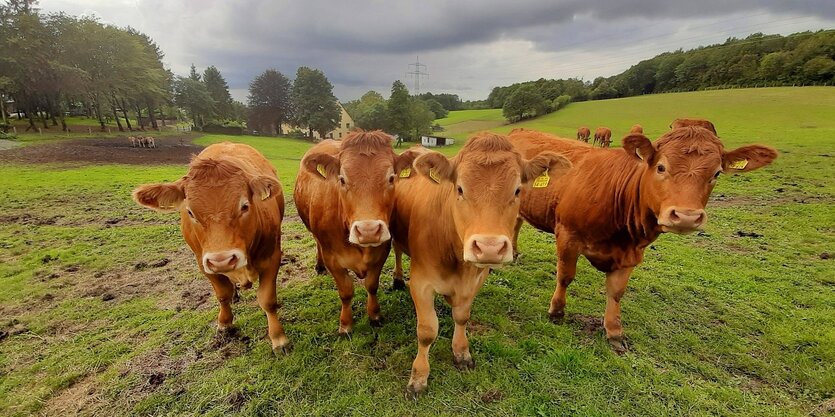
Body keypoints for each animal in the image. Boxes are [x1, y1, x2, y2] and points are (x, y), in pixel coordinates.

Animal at [131, 141, 288, 352]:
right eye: (190, 212)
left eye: (244, 206)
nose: (222, 260)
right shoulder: (203, 262)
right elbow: (222, 294)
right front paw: (224, 323)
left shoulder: (272, 257)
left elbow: (267, 300)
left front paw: (278, 338)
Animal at [296, 131, 422, 334]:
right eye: (342, 179)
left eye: (391, 178)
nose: (368, 230)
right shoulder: (332, 258)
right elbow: (346, 291)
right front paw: (346, 324)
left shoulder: (381, 251)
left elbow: (371, 285)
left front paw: (375, 315)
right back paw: (319, 266)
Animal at [396, 132, 572, 394]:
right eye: (459, 188)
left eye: (517, 190)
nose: (489, 247)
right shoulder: (421, 283)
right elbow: (427, 331)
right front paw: (419, 376)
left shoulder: (476, 280)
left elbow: (462, 316)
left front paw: (461, 352)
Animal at [510, 127, 776, 352]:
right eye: (660, 167)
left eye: (717, 173)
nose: (687, 216)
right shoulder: (567, 235)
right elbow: (565, 276)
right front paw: (556, 312)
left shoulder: (631, 253)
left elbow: (616, 292)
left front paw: (614, 331)